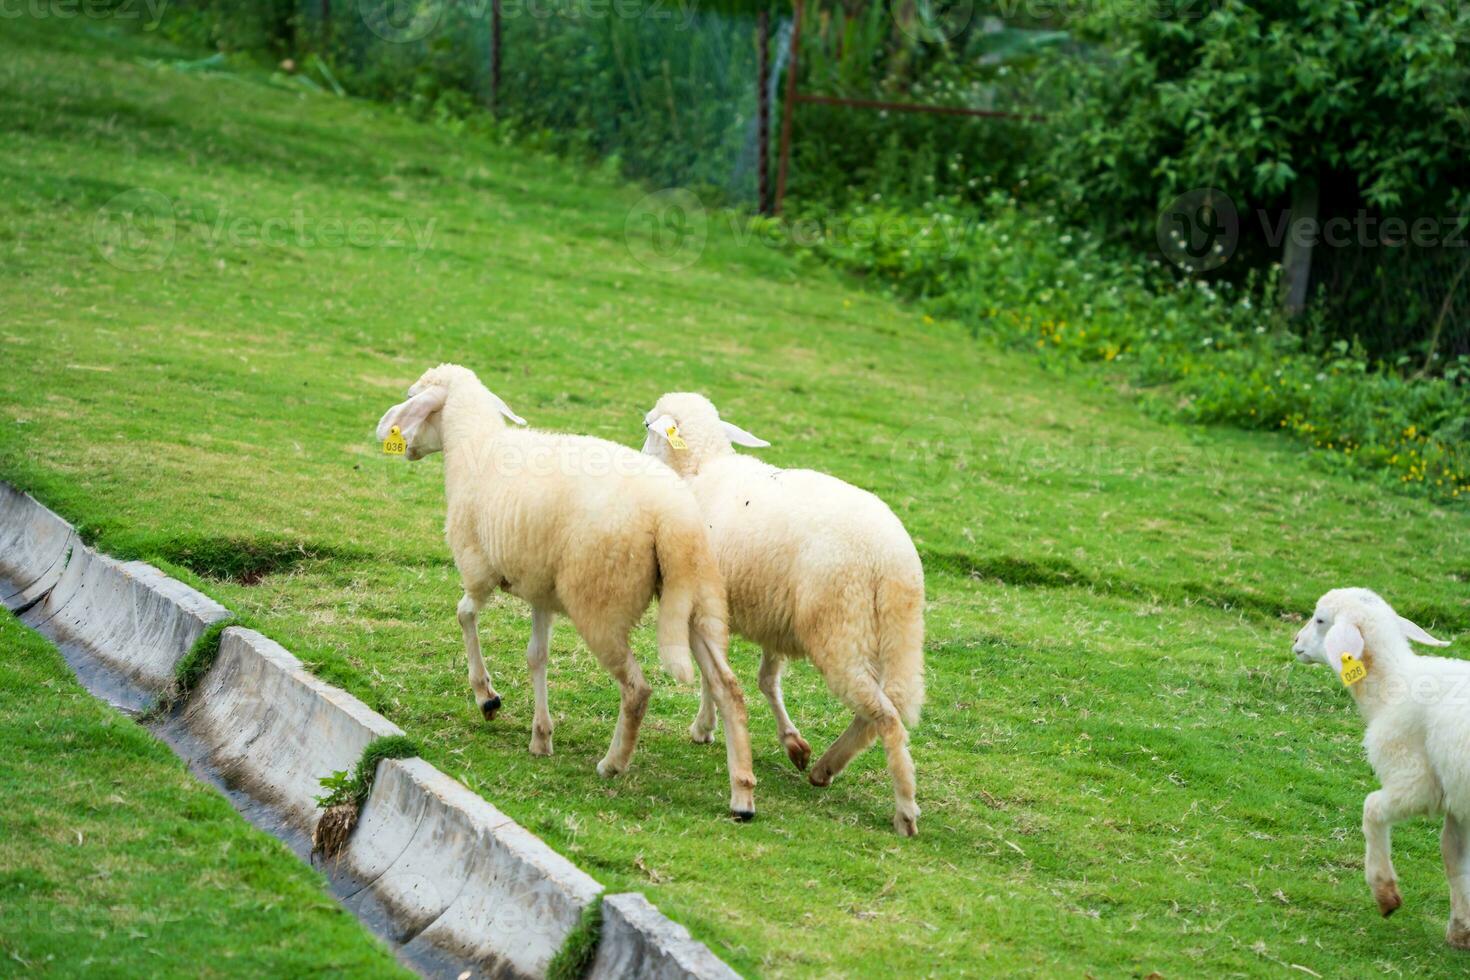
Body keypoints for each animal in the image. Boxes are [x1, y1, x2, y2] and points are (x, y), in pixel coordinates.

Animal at [373, 367, 764, 822]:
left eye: (411, 398)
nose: (397, 441)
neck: (475, 445)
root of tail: (671, 517)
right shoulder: (540, 590)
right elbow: (536, 657)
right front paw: (541, 736)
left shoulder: (479, 569)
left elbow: (464, 614)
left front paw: (487, 697)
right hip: (695, 600)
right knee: (729, 690)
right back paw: (742, 796)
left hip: (600, 603)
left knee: (637, 690)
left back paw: (613, 764)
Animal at [640, 390, 923, 834]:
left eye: (646, 426)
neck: (701, 469)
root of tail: (890, 560)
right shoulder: (773, 617)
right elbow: (765, 680)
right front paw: (792, 744)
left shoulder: (706, 602)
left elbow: (712, 676)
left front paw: (704, 728)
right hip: (892, 634)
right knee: (881, 708)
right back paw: (826, 766)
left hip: (839, 630)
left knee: (886, 717)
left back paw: (904, 809)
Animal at [1293, 587, 1464, 946]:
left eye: (1320, 620)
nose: (1296, 641)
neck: (1394, 685)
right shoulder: (1458, 800)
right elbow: (1453, 858)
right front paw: (1461, 930)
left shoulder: (1416, 780)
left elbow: (1371, 808)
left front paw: (1385, 893)